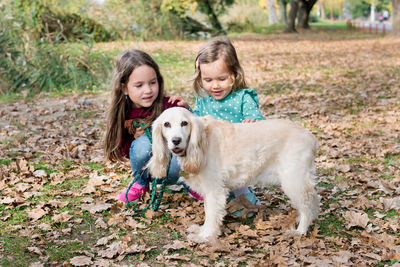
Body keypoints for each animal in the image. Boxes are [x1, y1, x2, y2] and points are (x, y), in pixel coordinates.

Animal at [147, 108, 318, 244]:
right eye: (166, 124)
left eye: (184, 123)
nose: (176, 140)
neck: (201, 141)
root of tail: (310, 136)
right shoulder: (209, 192)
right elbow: (208, 213)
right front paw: (202, 231)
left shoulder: (214, 190)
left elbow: (211, 216)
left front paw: (205, 237)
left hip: (293, 180)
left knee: (308, 205)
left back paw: (300, 231)